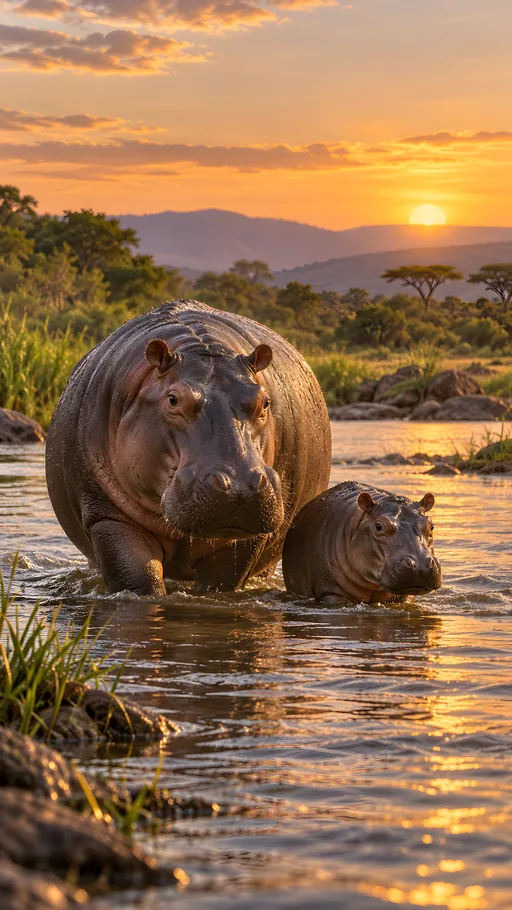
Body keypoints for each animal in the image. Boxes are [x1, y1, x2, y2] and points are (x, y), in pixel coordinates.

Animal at [46, 300, 331, 596]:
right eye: (173, 399)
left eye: (264, 401)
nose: (240, 486)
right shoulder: (107, 517)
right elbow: (138, 579)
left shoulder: (244, 538)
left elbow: (220, 584)